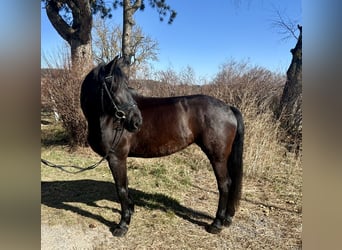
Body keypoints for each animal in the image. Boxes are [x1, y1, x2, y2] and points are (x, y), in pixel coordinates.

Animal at [81, 56, 244, 236]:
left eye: (126, 86)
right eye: (113, 86)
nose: (137, 121)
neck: (108, 119)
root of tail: (228, 108)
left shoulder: (116, 158)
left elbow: (121, 189)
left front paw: (122, 225)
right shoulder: (120, 159)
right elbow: (125, 186)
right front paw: (130, 210)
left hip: (217, 157)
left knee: (225, 185)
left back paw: (216, 224)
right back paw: (227, 218)